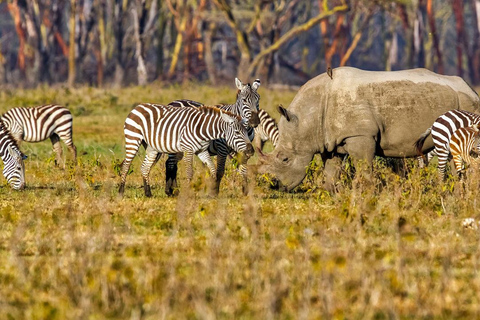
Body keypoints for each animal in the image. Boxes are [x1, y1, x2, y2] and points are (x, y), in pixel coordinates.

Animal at [117, 104, 253, 196]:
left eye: (246, 132)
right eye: (237, 133)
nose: (251, 151)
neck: (203, 130)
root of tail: (138, 107)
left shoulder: (202, 151)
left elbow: (213, 170)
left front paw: (213, 191)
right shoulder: (189, 149)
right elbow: (189, 172)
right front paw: (188, 193)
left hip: (152, 147)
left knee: (144, 167)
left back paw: (148, 193)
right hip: (133, 139)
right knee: (126, 165)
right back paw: (121, 192)